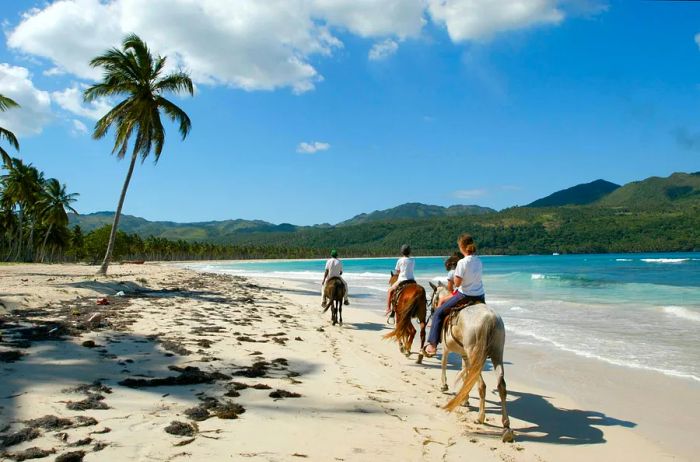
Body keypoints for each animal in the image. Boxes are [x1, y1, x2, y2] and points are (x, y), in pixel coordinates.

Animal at [426, 280, 516, 442]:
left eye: (433, 297)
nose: (432, 310)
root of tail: (490, 319)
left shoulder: (448, 349)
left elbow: (444, 365)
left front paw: (444, 386)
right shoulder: (465, 355)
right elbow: (466, 377)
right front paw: (465, 399)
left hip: (477, 356)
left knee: (482, 385)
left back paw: (480, 417)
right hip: (497, 355)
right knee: (501, 386)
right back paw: (506, 424)